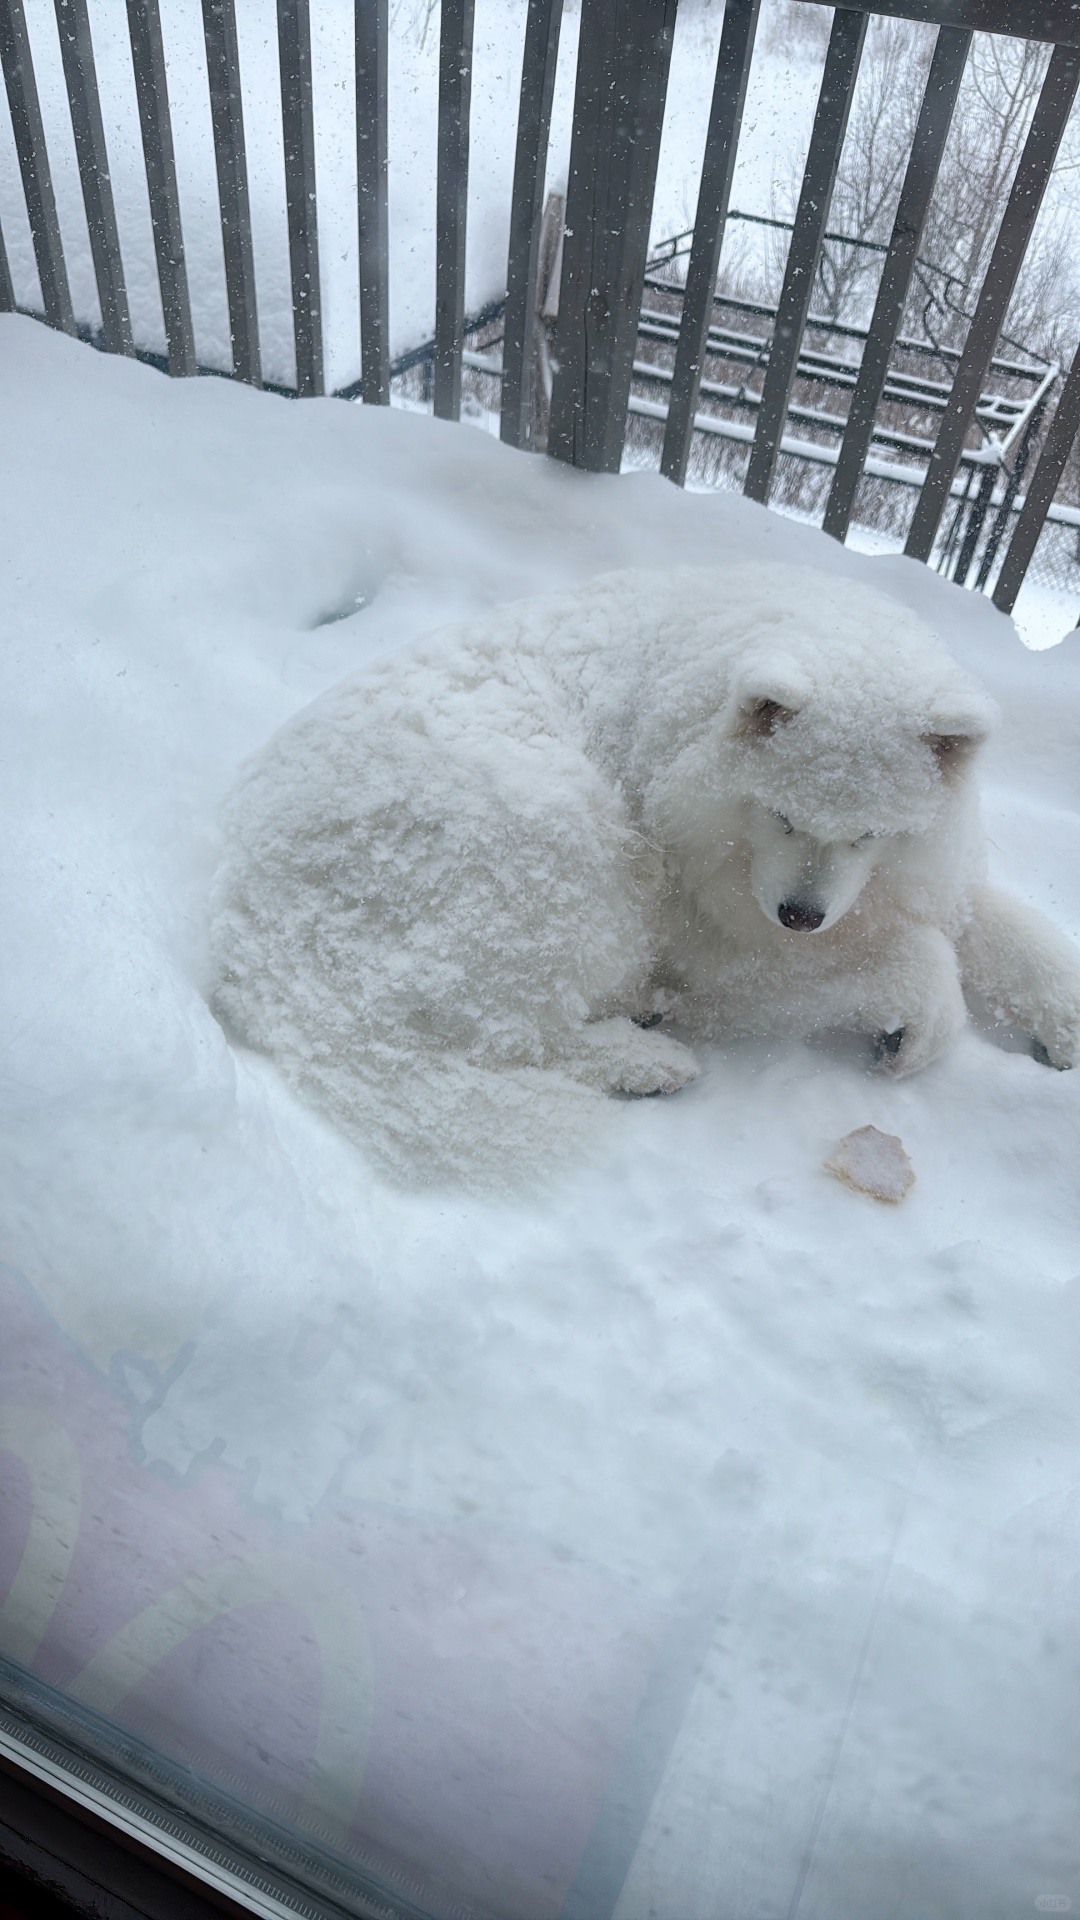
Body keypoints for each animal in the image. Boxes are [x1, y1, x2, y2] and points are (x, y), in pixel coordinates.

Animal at [208, 560, 1076, 1175]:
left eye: (871, 833)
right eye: (780, 815)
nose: (800, 915)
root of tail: (247, 933)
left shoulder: (914, 882)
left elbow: (1015, 935)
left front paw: (1062, 1019)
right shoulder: (715, 943)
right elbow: (919, 961)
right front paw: (918, 1021)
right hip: (563, 841)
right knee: (505, 1032)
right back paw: (643, 1057)